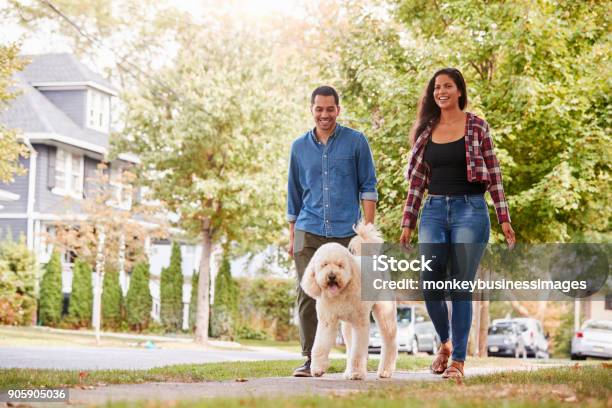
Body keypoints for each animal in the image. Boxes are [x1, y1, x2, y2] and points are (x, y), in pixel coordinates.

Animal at [300, 222, 396, 380]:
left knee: (389, 342)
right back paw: (348, 371)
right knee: (350, 345)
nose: (332, 276)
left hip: (385, 314)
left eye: (340, 265)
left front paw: (356, 373)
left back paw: (385, 371)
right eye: (324, 265)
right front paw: (317, 369)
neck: (340, 294)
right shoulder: (327, 322)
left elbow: (358, 351)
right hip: (347, 326)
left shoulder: (360, 324)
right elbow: (320, 345)